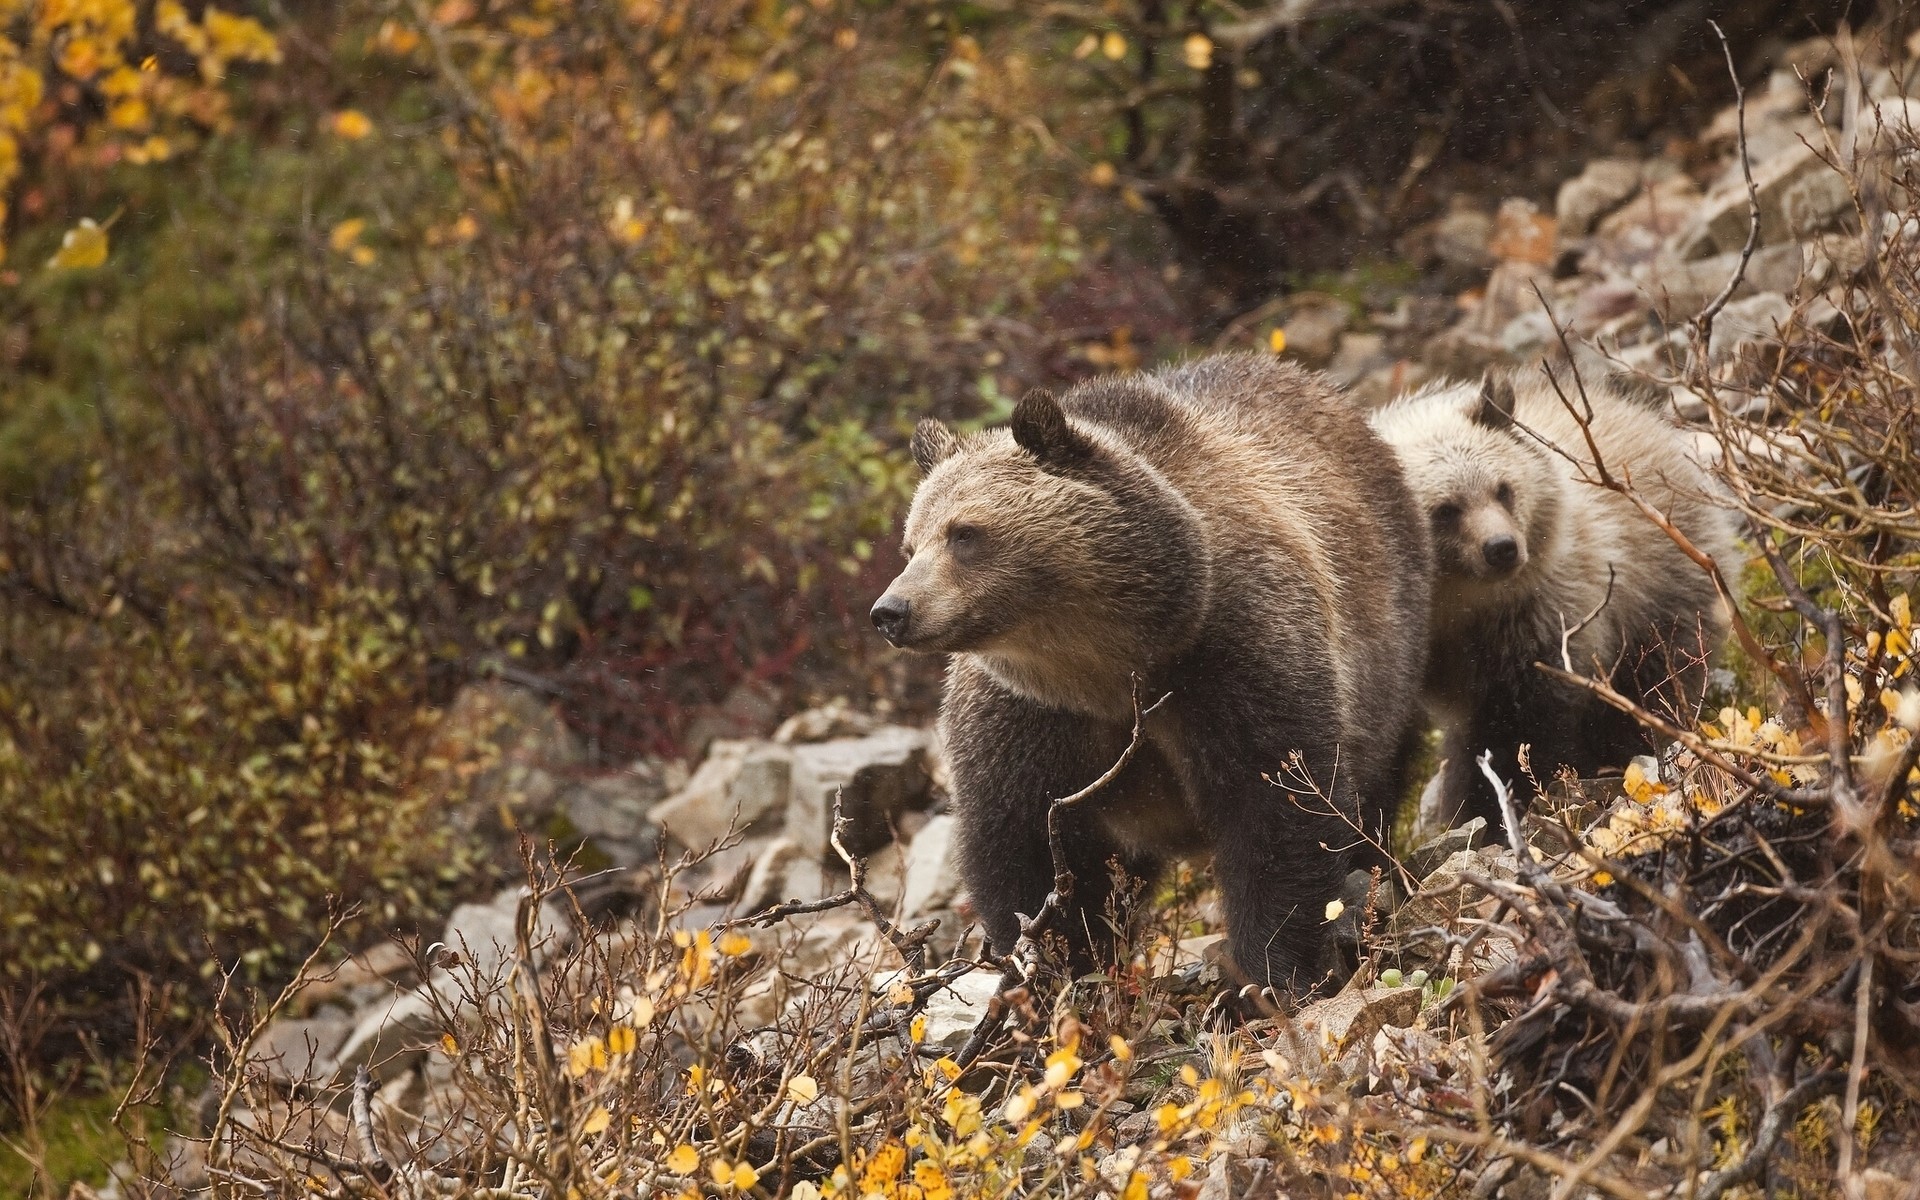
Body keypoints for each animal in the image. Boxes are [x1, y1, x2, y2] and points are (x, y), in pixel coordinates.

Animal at [870, 353, 1433, 995]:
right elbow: (1023, 844)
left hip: (1391, 651)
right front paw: (1056, 967)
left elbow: (1278, 804)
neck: (1110, 664)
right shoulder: (1028, 716)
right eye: (909, 544)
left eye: (964, 533)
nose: (891, 610)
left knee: (1377, 788)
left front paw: (1277, 967)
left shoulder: (1234, 650)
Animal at [1369, 372, 1740, 832]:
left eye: (1502, 488)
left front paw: (1501, 803)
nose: (1502, 548)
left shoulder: (1537, 620)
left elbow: (1522, 726)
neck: (1454, 606)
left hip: (1661, 587)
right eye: (1445, 509)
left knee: (1653, 683)